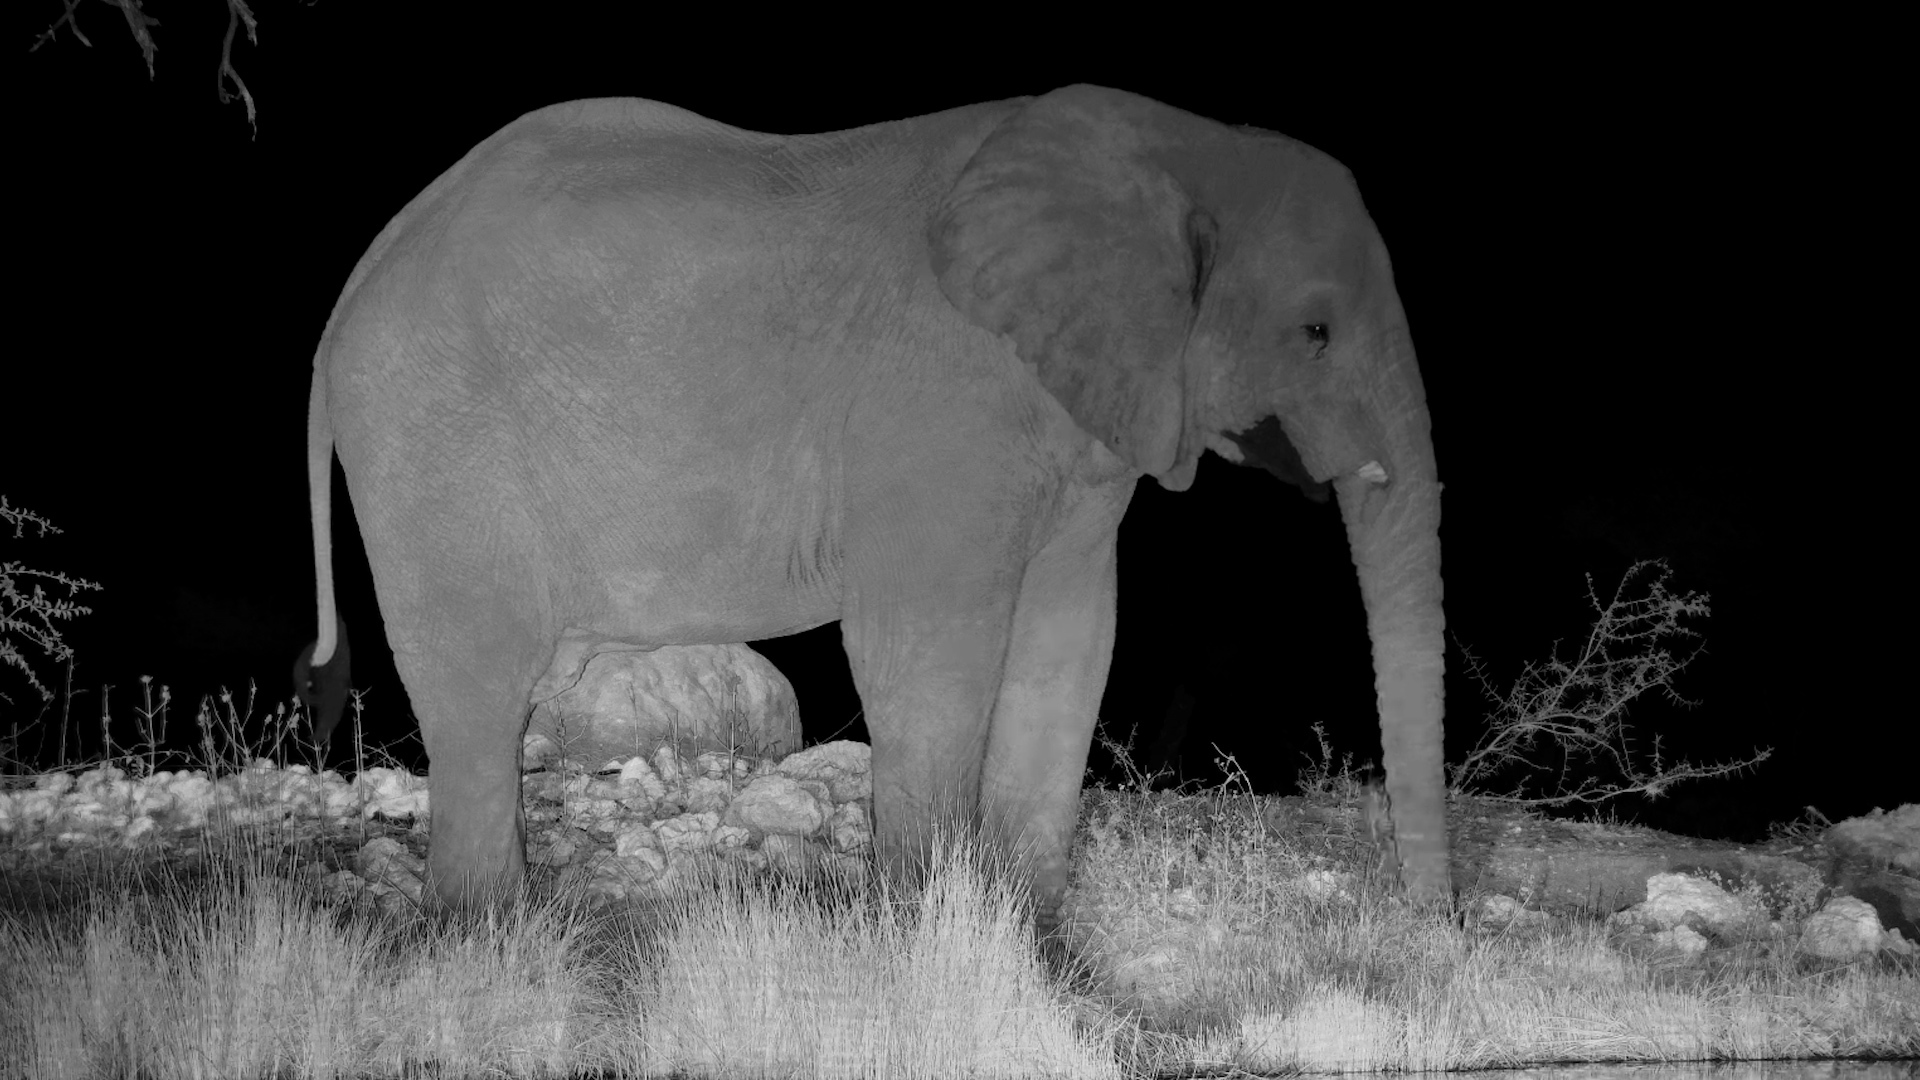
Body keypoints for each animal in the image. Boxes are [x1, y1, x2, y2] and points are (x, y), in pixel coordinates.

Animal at [303, 84, 1449, 926]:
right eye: (1315, 332)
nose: (1434, 923)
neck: (1184, 146)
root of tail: (353, 292)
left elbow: (1071, 643)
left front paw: (1033, 948)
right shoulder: (941, 410)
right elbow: (928, 649)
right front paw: (925, 937)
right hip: (432, 442)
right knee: (478, 695)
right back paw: (491, 937)